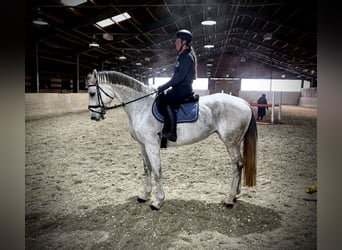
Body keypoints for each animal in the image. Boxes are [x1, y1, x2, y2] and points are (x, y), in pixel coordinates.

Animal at [85, 69, 256, 210]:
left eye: (92, 93)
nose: (93, 117)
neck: (141, 106)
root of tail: (243, 102)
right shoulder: (142, 145)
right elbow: (147, 169)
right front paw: (145, 195)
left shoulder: (151, 144)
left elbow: (157, 170)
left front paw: (158, 201)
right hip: (236, 142)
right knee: (240, 165)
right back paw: (236, 194)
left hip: (230, 143)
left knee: (236, 166)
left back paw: (229, 199)